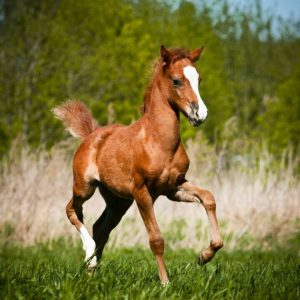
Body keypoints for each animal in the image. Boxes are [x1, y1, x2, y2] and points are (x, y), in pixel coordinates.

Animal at [53, 45, 223, 284]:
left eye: (199, 78)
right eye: (176, 81)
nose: (200, 114)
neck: (159, 142)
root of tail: (91, 135)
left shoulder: (173, 187)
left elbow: (208, 198)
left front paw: (204, 256)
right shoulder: (142, 191)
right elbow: (156, 239)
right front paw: (165, 283)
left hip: (118, 201)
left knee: (100, 228)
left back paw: (93, 269)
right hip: (84, 186)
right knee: (72, 210)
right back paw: (89, 255)